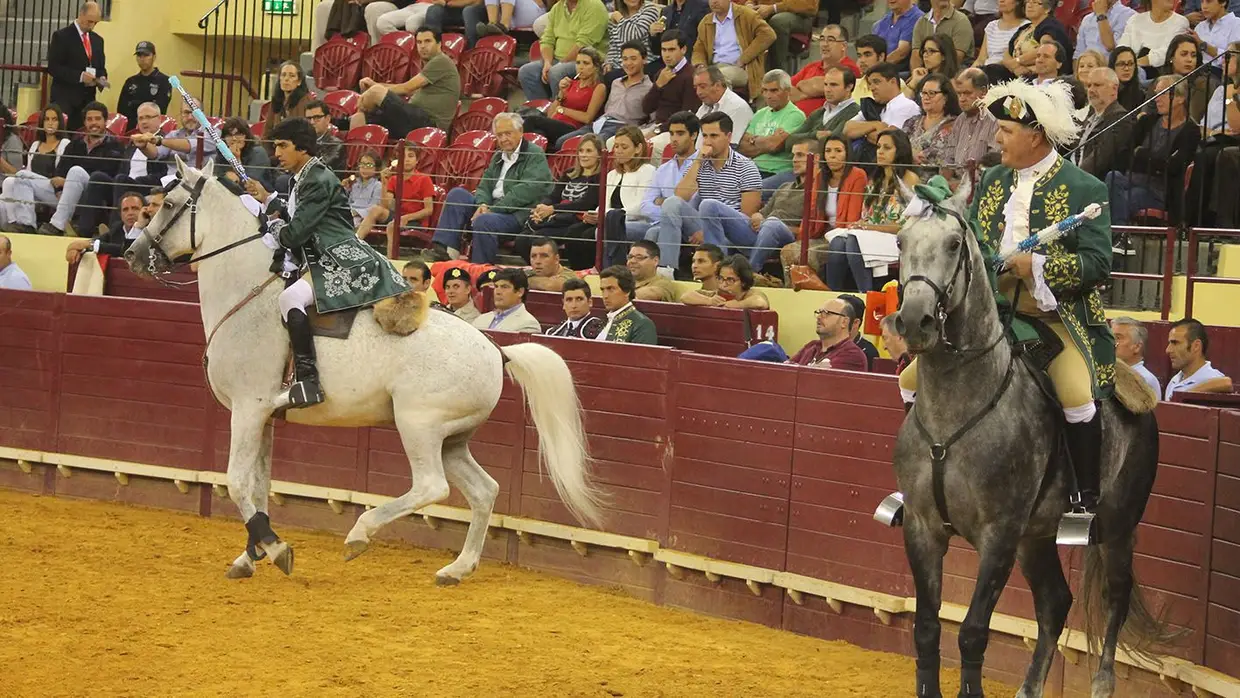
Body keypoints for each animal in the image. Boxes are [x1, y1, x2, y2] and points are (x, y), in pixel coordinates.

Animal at [123, 161, 602, 582]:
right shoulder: (264, 418)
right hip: (452, 437)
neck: (247, 295)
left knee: (432, 486)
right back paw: (456, 569)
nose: (132, 253)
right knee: (484, 491)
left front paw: (275, 549)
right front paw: (249, 557)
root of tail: (495, 349)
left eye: (169, 205)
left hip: (418, 425)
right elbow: (258, 486)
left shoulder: (248, 408)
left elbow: (238, 482)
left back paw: (360, 533)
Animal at [892, 177, 1170, 694]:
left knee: (1116, 595)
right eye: (900, 242)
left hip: (1117, 524)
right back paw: (1029, 687)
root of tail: (1135, 388)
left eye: (954, 244)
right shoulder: (922, 528)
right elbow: (926, 629)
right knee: (1055, 601)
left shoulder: (999, 534)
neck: (956, 407)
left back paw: (1102, 683)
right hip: (1036, 538)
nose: (915, 321)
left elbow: (973, 631)